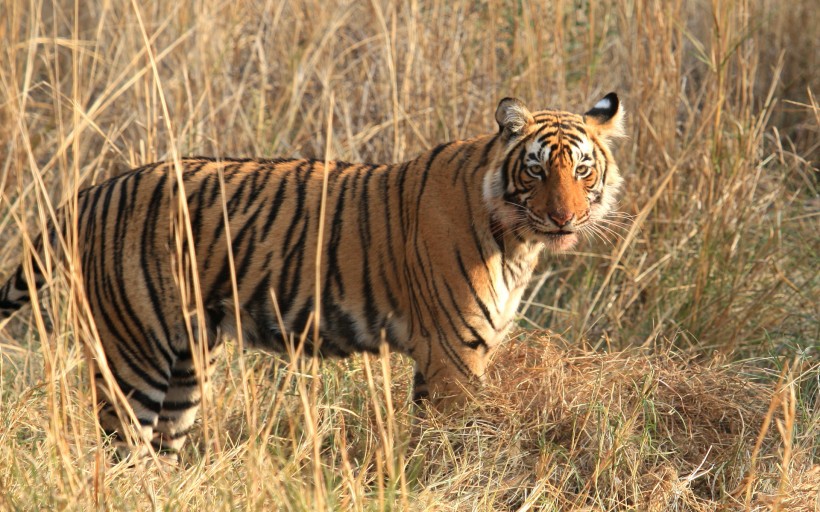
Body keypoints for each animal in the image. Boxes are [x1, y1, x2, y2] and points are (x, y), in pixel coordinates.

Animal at [0, 93, 624, 462]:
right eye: (537, 169)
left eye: (582, 169)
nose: (565, 218)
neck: (517, 241)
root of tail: (92, 192)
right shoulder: (454, 356)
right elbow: (459, 439)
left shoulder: (441, 359)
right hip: (133, 355)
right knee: (122, 448)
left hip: (185, 362)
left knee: (160, 449)